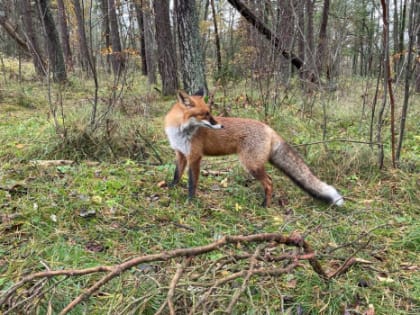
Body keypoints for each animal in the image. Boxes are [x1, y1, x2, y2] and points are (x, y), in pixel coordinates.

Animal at [164, 89, 344, 207]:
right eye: (205, 114)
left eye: (210, 112)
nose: (221, 126)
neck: (179, 130)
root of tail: (269, 128)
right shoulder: (180, 153)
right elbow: (177, 174)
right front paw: (171, 188)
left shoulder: (195, 156)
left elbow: (192, 182)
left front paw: (190, 201)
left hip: (251, 165)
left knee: (269, 182)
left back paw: (265, 205)